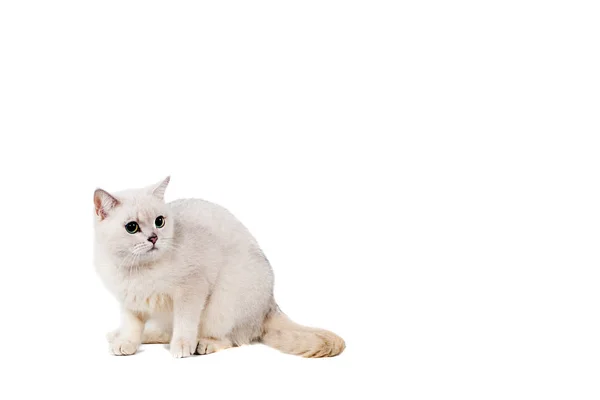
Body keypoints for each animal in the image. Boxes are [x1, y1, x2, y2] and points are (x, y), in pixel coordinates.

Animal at [94, 177, 346, 358]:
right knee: (163, 332)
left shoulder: (191, 290)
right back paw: (118, 336)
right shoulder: (129, 301)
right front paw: (126, 343)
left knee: (231, 339)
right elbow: (131, 327)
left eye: (160, 221)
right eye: (132, 227)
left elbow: (185, 324)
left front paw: (182, 347)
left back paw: (203, 344)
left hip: (224, 302)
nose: (154, 238)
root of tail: (270, 304)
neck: (138, 270)